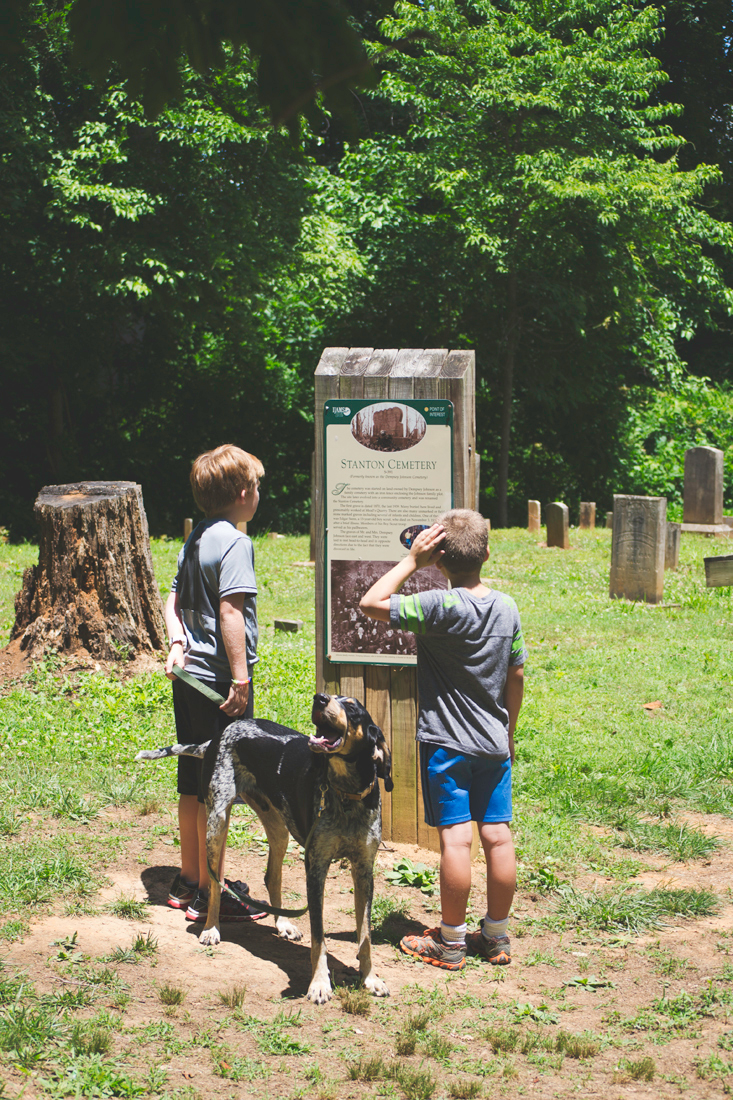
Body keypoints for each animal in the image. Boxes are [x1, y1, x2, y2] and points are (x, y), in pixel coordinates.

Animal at [134, 695, 391, 1007]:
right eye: (332, 697)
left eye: (353, 707)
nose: (319, 697)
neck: (347, 795)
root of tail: (218, 736)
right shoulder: (316, 868)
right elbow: (319, 939)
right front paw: (319, 984)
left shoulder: (364, 871)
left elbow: (365, 936)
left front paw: (370, 979)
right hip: (217, 821)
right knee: (214, 884)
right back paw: (211, 928)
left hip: (278, 829)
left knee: (272, 877)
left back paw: (283, 923)